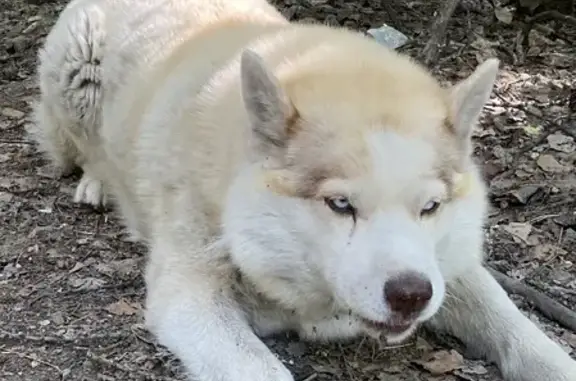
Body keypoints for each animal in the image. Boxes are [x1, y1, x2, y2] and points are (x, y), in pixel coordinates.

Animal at [30, 0, 576, 380]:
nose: (410, 295)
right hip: (76, 71)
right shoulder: (189, 294)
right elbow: (261, 367)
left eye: (430, 207)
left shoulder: (447, 270)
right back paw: (96, 180)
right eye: (340, 204)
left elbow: (517, 327)